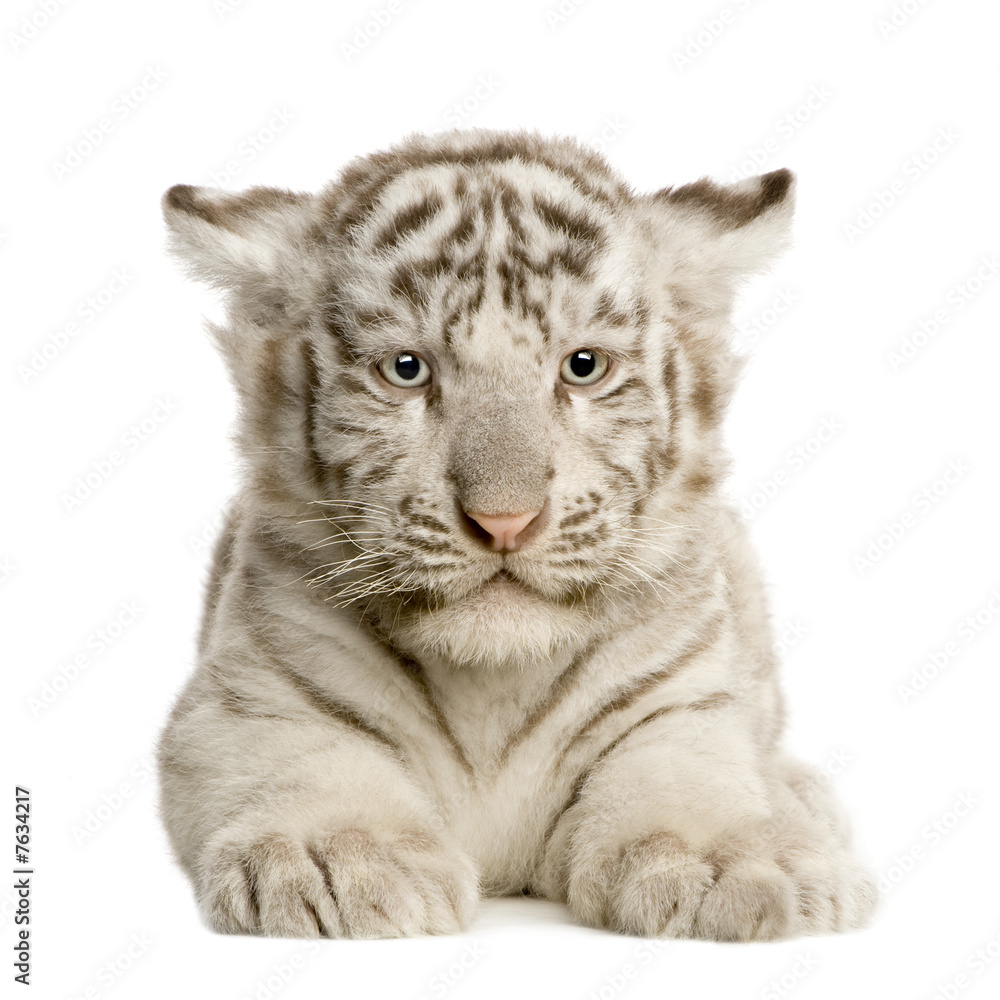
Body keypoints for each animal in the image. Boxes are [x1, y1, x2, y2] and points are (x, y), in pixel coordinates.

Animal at [157, 128, 877, 941]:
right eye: (406, 370)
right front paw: (338, 859)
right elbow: (304, 761)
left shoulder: (686, 697)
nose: (505, 520)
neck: (491, 684)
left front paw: (735, 863)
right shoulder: (247, 698)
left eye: (583, 366)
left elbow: (689, 776)